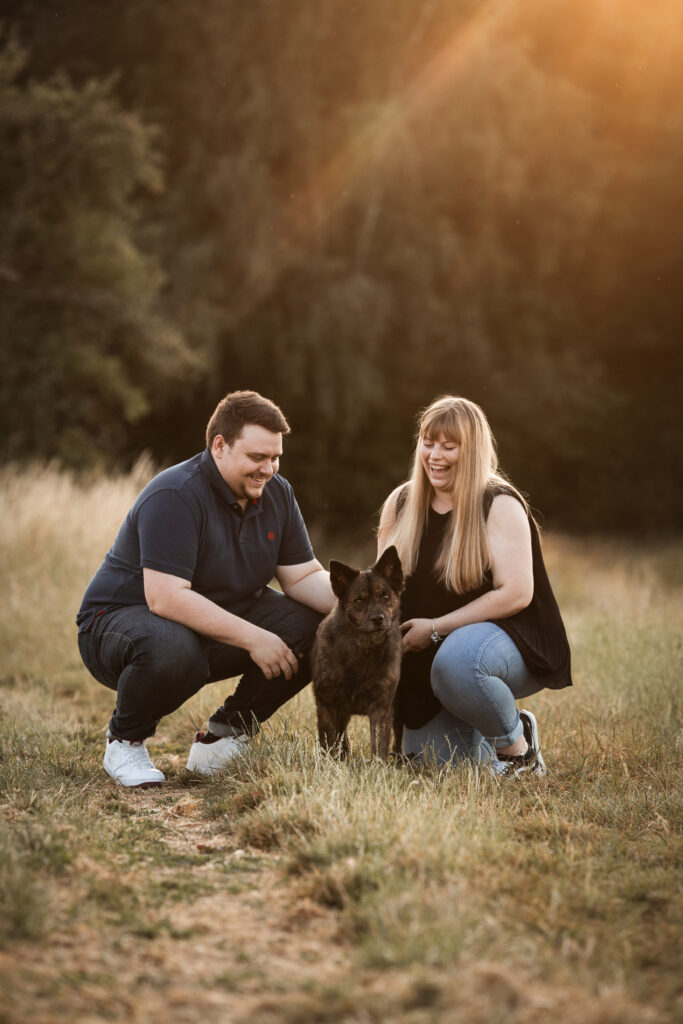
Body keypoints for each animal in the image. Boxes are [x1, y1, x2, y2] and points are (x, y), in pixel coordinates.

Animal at [313, 544, 403, 761]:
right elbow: (329, 742)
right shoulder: (328, 704)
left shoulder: (381, 708)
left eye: (385, 595)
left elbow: (379, 745)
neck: (365, 649)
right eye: (359, 600)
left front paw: (378, 766)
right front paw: (331, 764)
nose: (378, 619)